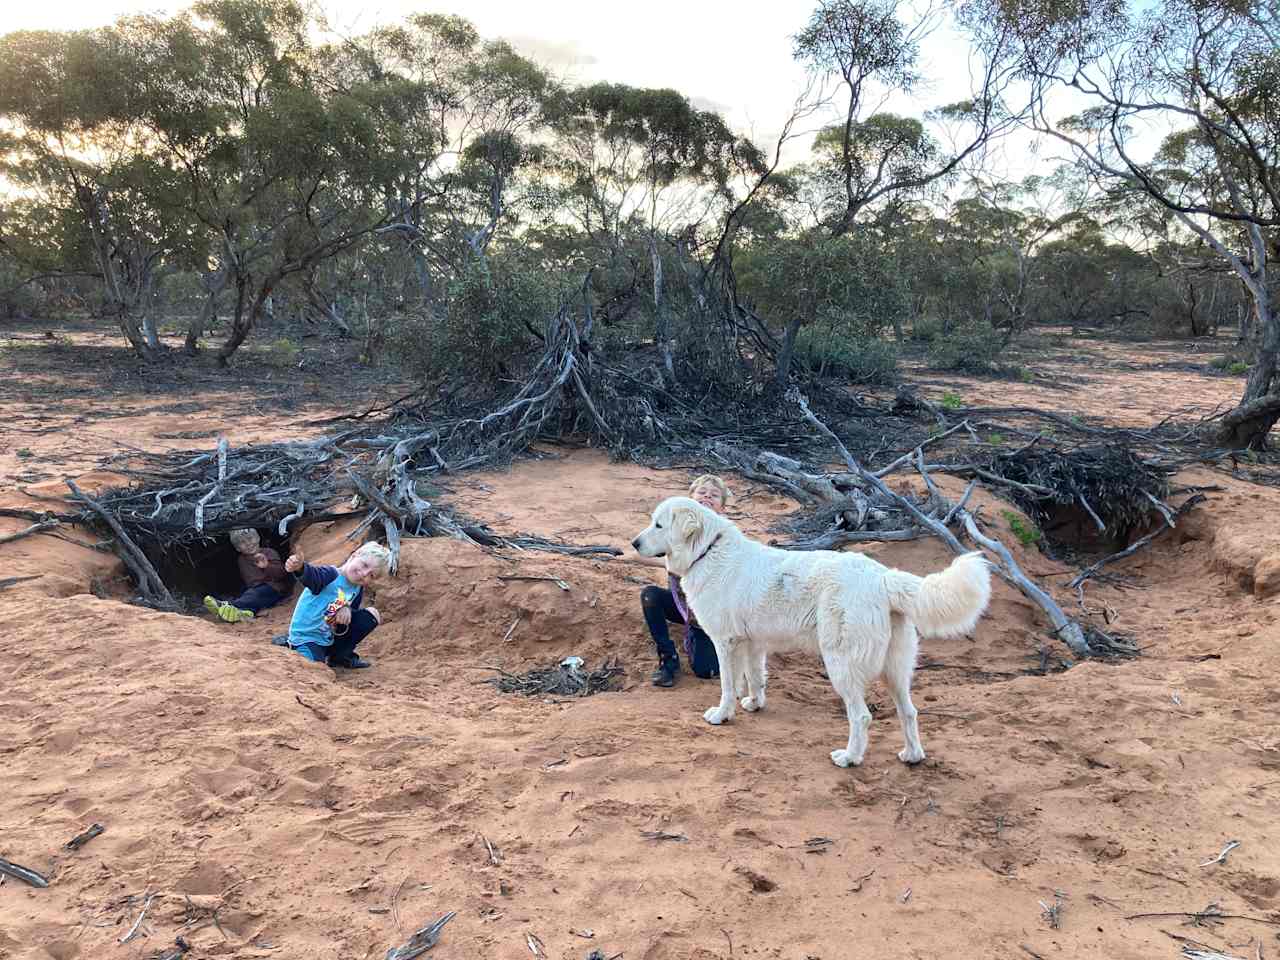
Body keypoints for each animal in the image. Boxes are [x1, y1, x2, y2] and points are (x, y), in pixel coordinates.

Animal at [629, 499, 988, 773]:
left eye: (658, 525)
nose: (634, 543)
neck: (707, 550)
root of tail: (883, 577)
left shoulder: (725, 642)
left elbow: (728, 685)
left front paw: (722, 715)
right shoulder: (751, 643)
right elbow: (754, 677)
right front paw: (754, 704)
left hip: (841, 664)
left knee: (862, 716)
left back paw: (849, 758)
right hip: (896, 669)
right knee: (909, 712)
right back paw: (912, 756)